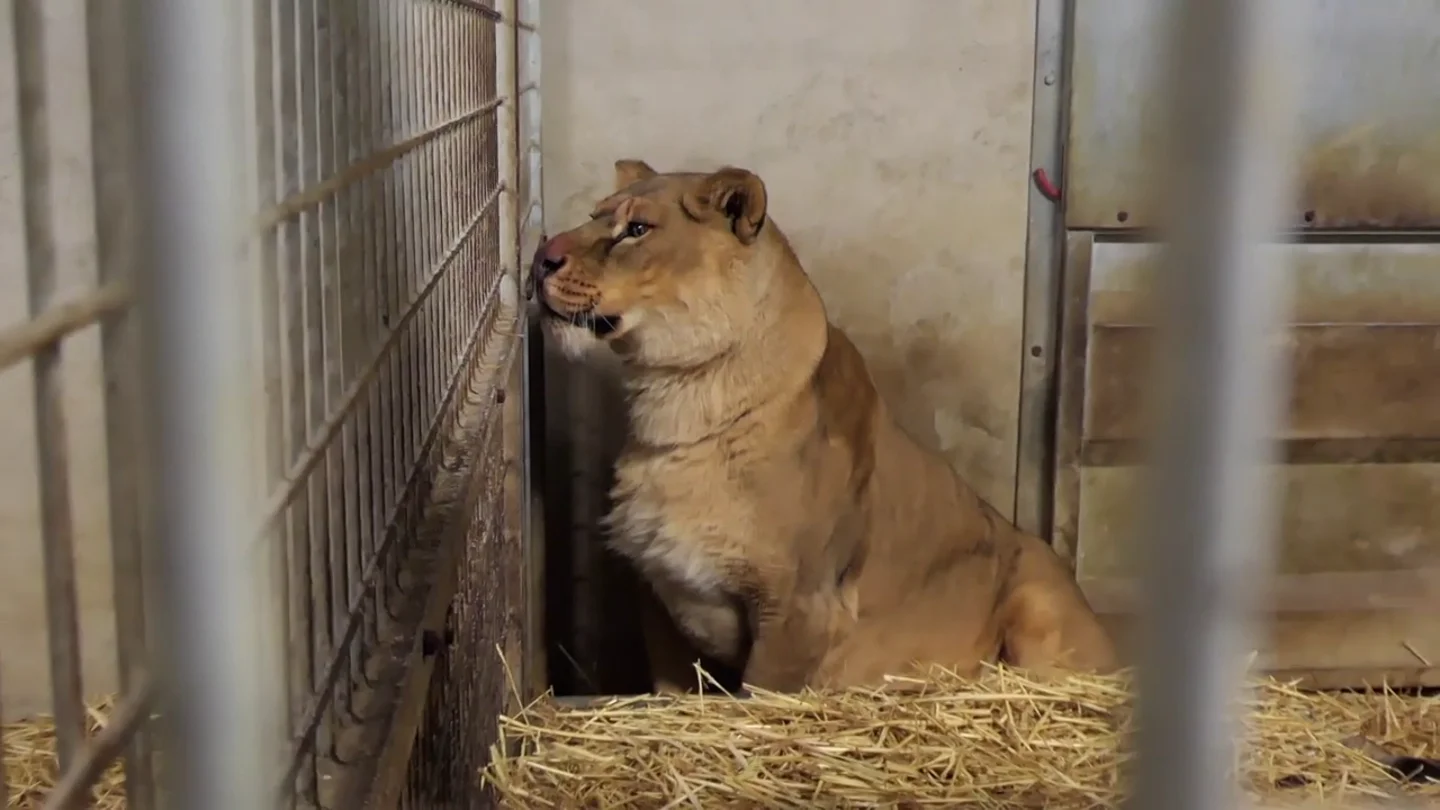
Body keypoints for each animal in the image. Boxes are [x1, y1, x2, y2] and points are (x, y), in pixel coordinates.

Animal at [532, 159, 1116, 692]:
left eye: (636, 229)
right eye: (596, 216)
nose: (540, 258)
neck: (675, 401)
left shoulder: (801, 607)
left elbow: (760, 695)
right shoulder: (661, 596)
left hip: (1036, 604)